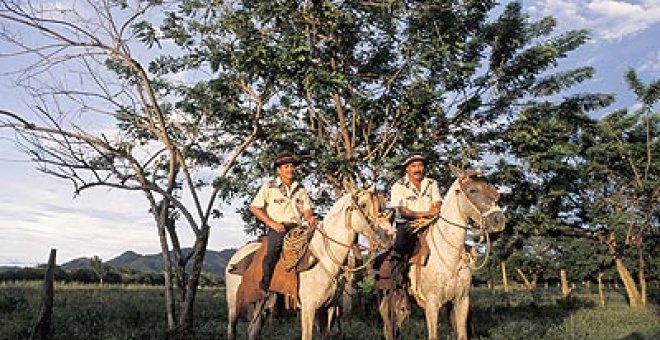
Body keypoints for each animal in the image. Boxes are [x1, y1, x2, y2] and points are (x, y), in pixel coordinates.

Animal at [224, 189, 394, 340]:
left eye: (381, 206)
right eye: (363, 205)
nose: (390, 235)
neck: (323, 259)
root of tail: (237, 256)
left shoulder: (329, 308)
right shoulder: (308, 308)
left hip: (261, 305)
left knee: (253, 330)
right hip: (234, 305)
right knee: (232, 331)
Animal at [378, 167, 508, 340]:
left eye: (492, 189)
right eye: (473, 190)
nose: (498, 221)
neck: (450, 256)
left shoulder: (461, 301)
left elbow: (462, 334)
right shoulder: (432, 304)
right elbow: (433, 335)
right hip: (386, 299)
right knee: (388, 329)